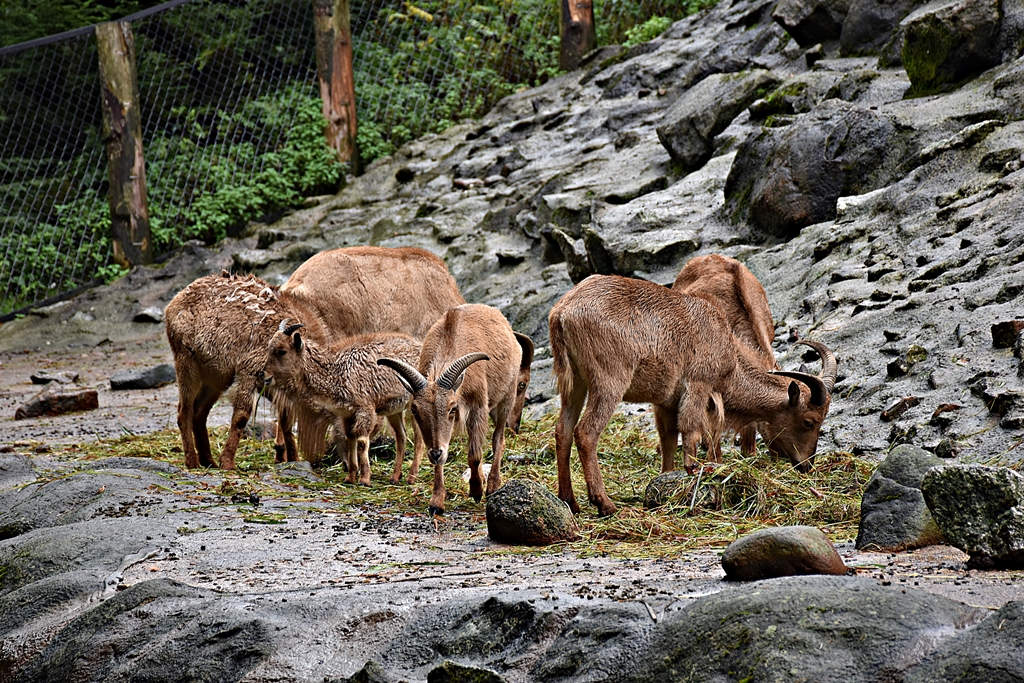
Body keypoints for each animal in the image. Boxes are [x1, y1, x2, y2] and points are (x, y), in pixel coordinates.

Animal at [262, 320, 425, 486]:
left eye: (282, 351)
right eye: (269, 348)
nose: (264, 375)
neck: (337, 371)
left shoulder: (365, 409)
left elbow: (362, 442)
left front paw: (365, 479)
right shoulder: (347, 413)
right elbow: (350, 439)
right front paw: (350, 477)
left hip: (414, 404)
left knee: (419, 439)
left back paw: (411, 477)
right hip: (394, 410)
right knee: (401, 436)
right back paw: (395, 477)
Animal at [377, 304, 523, 515]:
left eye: (452, 408)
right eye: (415, 410)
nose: (435, 453)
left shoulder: (478, 407)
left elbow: (474, 455)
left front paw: (476, 491)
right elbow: (444, 460)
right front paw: (436, 502)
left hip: (507, 397)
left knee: (498, 439)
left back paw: (492, 485)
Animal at [548, 274, 836, 516]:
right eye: (809, 421)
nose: (806, 465)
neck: (729, 355)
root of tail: (562, 312)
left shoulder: (666, 403)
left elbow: (668, 440)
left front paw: (667, 480)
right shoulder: (698, 385)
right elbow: (691, 434)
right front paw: (693, 475)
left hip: (575, 384)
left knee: (563, 430)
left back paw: (569, 501)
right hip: (609, 381)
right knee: (586, 432)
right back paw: (604, 503)